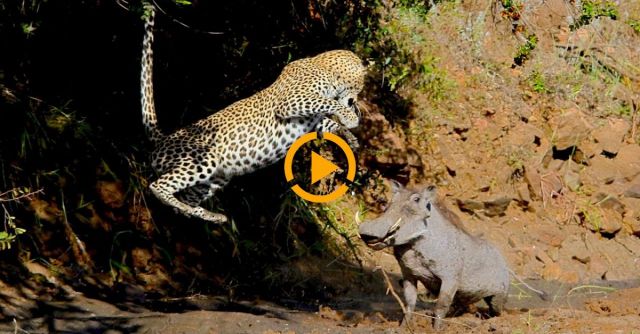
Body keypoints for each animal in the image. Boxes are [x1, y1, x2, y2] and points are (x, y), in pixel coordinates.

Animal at [139, 3, 368, 224]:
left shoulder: (311, 118)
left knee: (185, 196)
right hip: (204, 159)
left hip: (215, 178)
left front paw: (350, 137)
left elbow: (328, 121)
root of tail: (163, 140)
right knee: (158, 186)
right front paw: (351, 119)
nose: (357, 104)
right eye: (361, 86)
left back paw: (208, 215)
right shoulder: (292, 100)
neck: (327, 68)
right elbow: (328, 102)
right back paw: (188, 209)